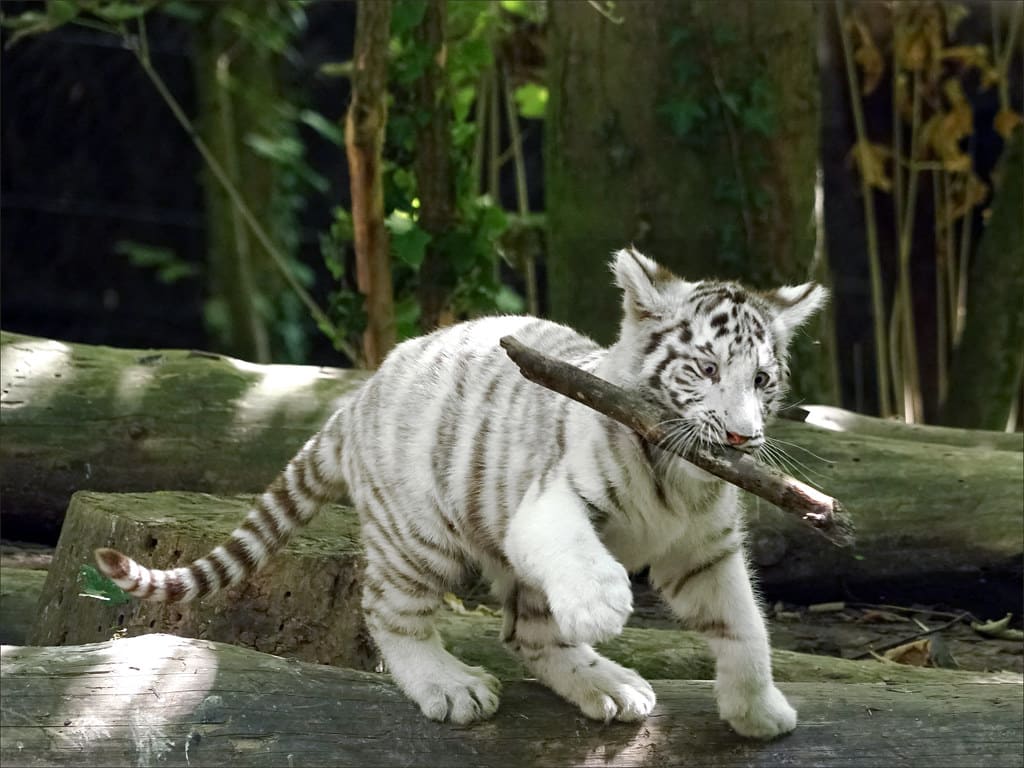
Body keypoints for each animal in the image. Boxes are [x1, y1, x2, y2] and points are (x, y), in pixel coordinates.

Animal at [96, 247, 826, 739]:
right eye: (705, 369)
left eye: (762, 380)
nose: (741, 437)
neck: (680, 477)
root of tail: (359, 396)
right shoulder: (546, 504)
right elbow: (577, 551)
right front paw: (602, 604)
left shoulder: (706, 551)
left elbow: (746, 627)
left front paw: (759, 712)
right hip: (419, 536)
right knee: (389, 610)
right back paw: (449, 685)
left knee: (529, 636)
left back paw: (608, 685)